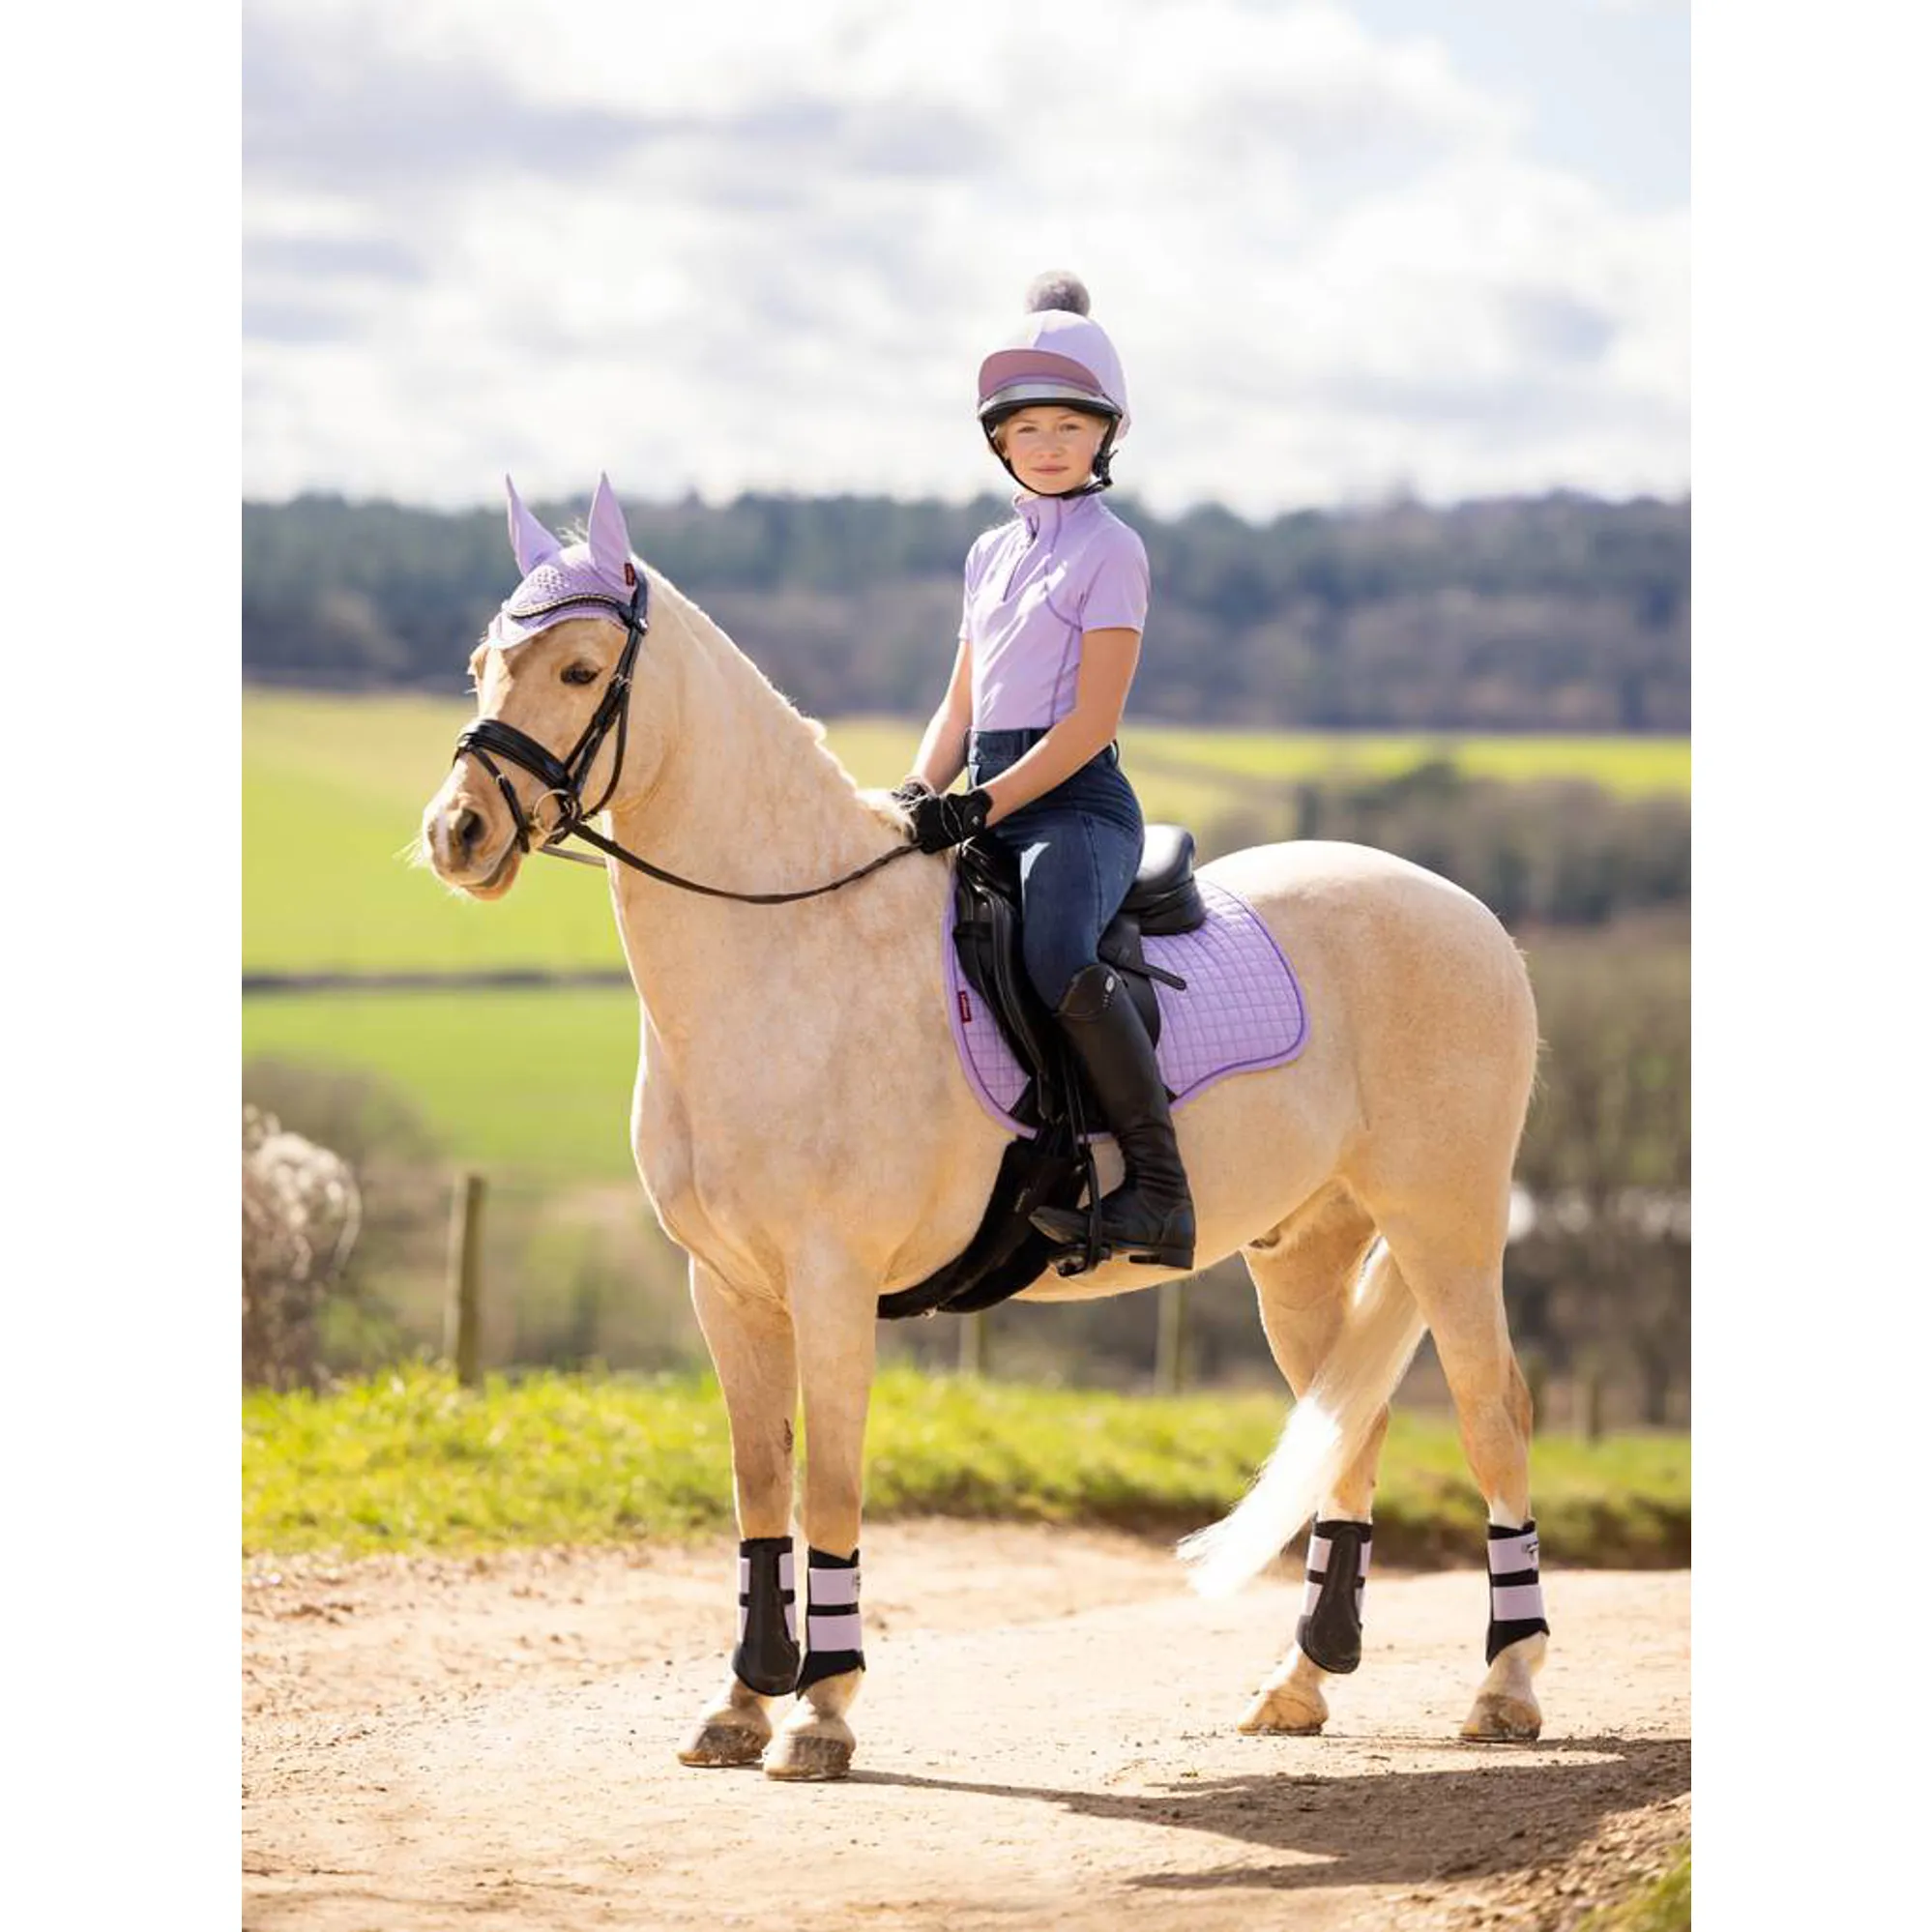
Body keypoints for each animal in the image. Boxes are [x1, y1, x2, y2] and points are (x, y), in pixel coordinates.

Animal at [418, 474, 1550, 1782]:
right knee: (1345, 1429)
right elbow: (760, 1488)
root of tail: (1471, 912)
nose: (457, 835)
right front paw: (741, 1704)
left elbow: (831, 1487)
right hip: (1305, 1253)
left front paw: (822, 1712)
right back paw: (1300, 1683)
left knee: (1494, 1416)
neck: (785, 946)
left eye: (581, 668)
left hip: (1443, 1227)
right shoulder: (730, 1289)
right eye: (481, 665)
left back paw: (1508, 1688)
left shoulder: (831, 1282)